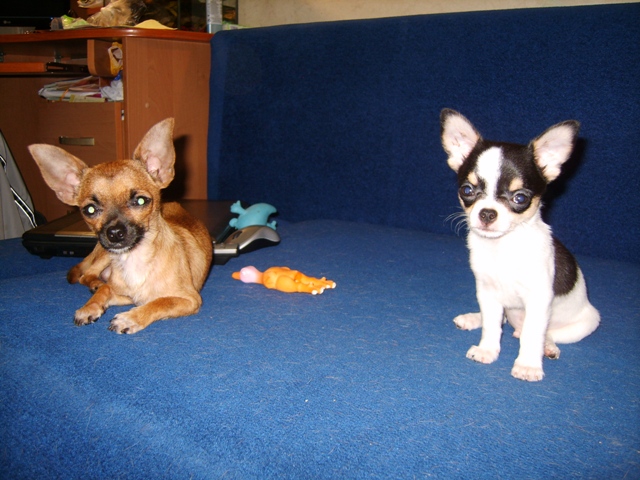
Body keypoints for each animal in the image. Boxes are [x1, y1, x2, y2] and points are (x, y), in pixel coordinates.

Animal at [28, 118, 213, 334]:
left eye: (140, 201)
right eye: (89, 210)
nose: (115, 233)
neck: (135, 259)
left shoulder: (189, 299)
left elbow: (159, 302)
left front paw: (130, 318)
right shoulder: (126, 295)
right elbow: (107, 290)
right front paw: (90, 307)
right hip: (104, 254)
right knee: (86, 275)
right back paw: (95, 284)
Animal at [440, 109, 600, 381]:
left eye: (520, 198)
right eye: (467, 190)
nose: (487, 213)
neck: (502, 247)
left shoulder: (538, 299)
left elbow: (532, 334)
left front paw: (527, 365)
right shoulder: (487, 293)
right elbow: (492, 325)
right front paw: (487, 350)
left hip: (587, 322)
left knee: (544, 333)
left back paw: (548, 346)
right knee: (501, 321)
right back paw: (473, 319)